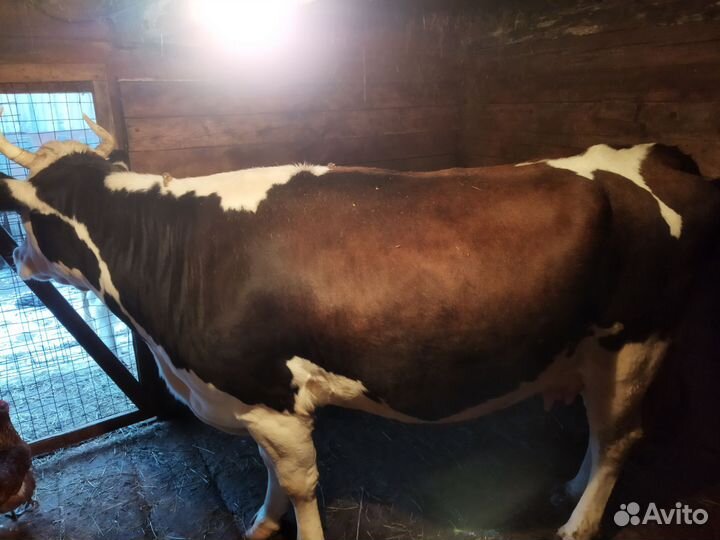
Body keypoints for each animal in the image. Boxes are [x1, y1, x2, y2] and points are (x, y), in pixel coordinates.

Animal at [0, 109, 718, 540]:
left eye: (23, 219)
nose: (16, 259)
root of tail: (658, 154)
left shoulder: (275, 400)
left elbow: (300, 483)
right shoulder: (253, 398)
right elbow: (269, 476)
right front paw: (262, 523)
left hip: (635, 345)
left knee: (621, 437)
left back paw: (579, 522)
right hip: (596, 355)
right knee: (601, 432)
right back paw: (569, 488)